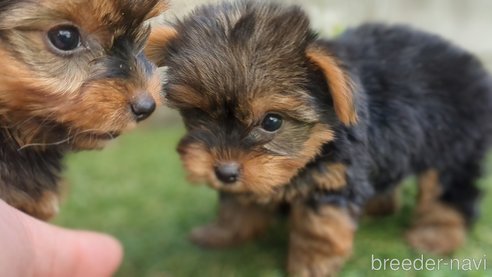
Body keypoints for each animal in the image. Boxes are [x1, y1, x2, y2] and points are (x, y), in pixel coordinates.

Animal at [149, 0, 492, 274]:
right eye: (198, 114)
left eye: (272, 121)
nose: (224, 172)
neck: (317, 143)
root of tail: (473, 67)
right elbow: (237, 203)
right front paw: (224, 233)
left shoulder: (333, 179)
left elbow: (319, 229)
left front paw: (310, 265)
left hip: (452, 143)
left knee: (450, 189)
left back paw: (436, 234)